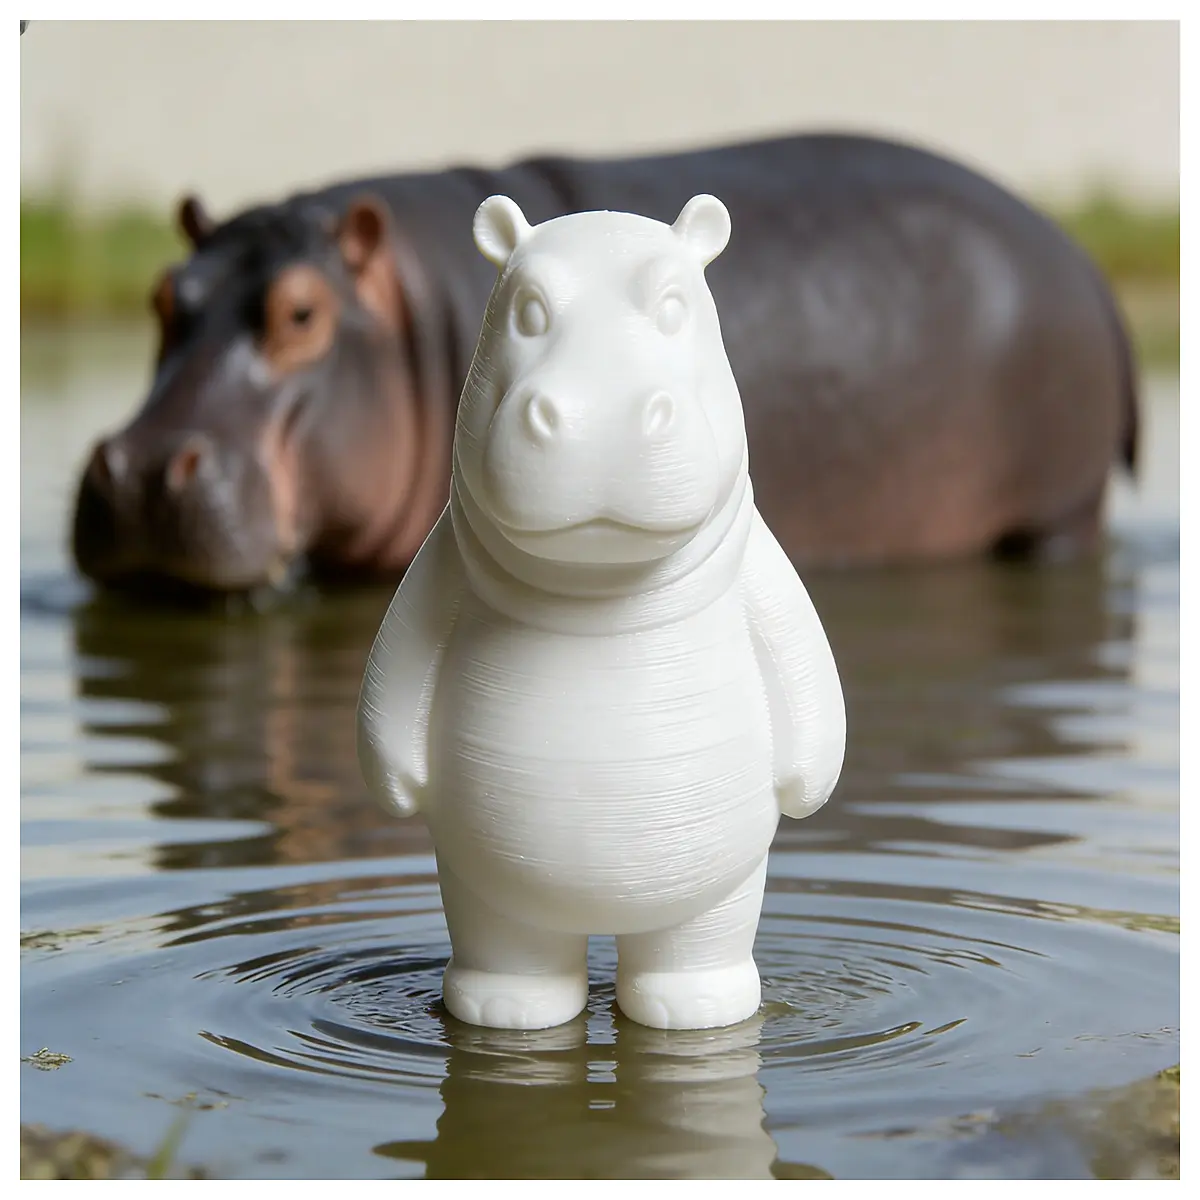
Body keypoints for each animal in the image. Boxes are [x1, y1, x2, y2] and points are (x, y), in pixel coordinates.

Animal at [70, 132, 1139, 594]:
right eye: (162, 295)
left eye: (301, 312)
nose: (141, 468)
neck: (414, 314)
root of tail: (1082, 259)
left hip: (1057, 512)